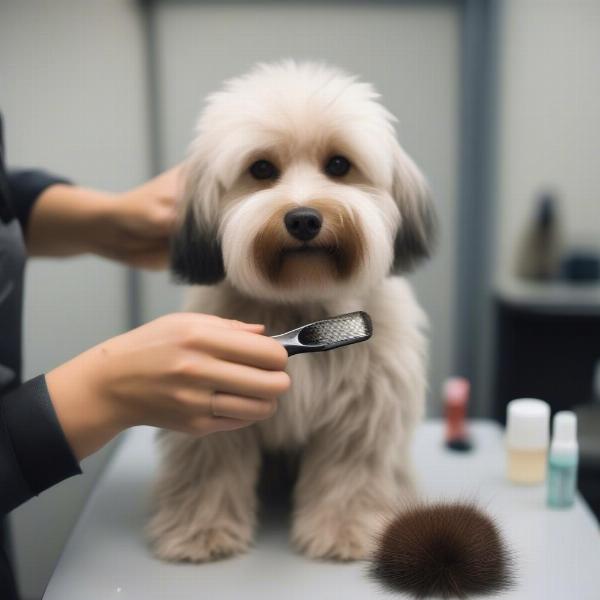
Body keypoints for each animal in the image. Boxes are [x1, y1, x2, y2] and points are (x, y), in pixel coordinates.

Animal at [147, 61, 434, 564]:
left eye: (338, 165)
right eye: (261, 169)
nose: (303, 219)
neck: (300, 301)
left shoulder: (363, 413)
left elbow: (349, 477)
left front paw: (346, 533)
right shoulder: (214, 419)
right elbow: (210, 469)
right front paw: (201, 531)